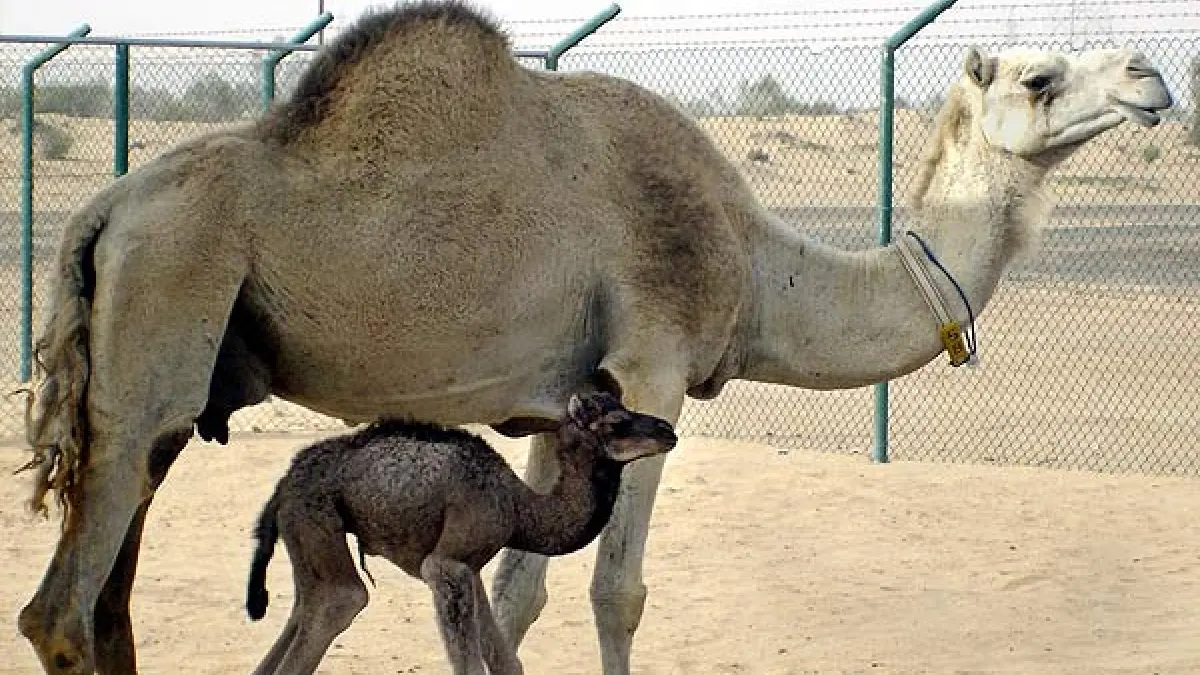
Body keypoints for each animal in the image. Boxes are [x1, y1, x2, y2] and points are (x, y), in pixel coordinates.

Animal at [244, 391, 676, 675]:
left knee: (304, 607)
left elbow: (506, 660)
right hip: (316, 516)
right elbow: (473, 665)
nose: (667, 430)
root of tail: (284, 484)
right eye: (616, 423)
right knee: (341, 600)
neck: (519, 509)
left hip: (304, 531)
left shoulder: (471, 567)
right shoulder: (448, 564)